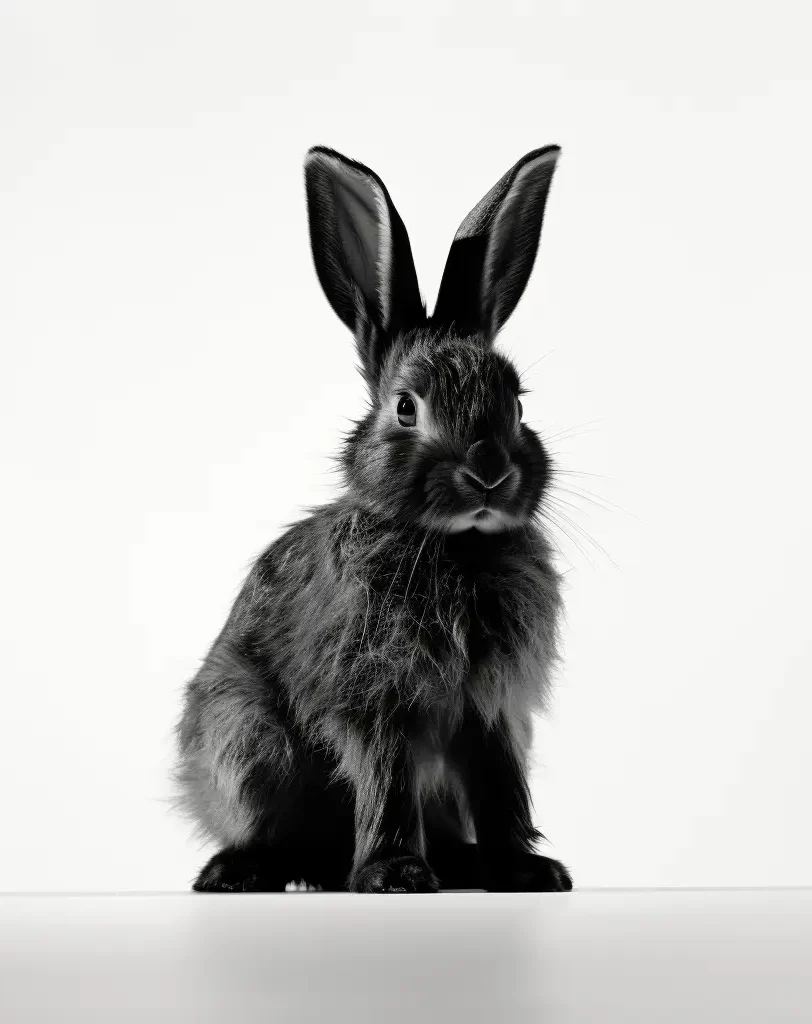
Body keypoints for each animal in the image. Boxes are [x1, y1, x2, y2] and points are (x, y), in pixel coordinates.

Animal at [173, 143, 573, 894]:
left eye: (518, 406)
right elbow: (386, 780)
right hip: (245, 741)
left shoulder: (491, 709)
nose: (488, 474)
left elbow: (502, 787)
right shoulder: (373, 697)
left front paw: (527, 869)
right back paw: (240, 871)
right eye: (405, 409)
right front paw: (395, 874)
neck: (455, 547)